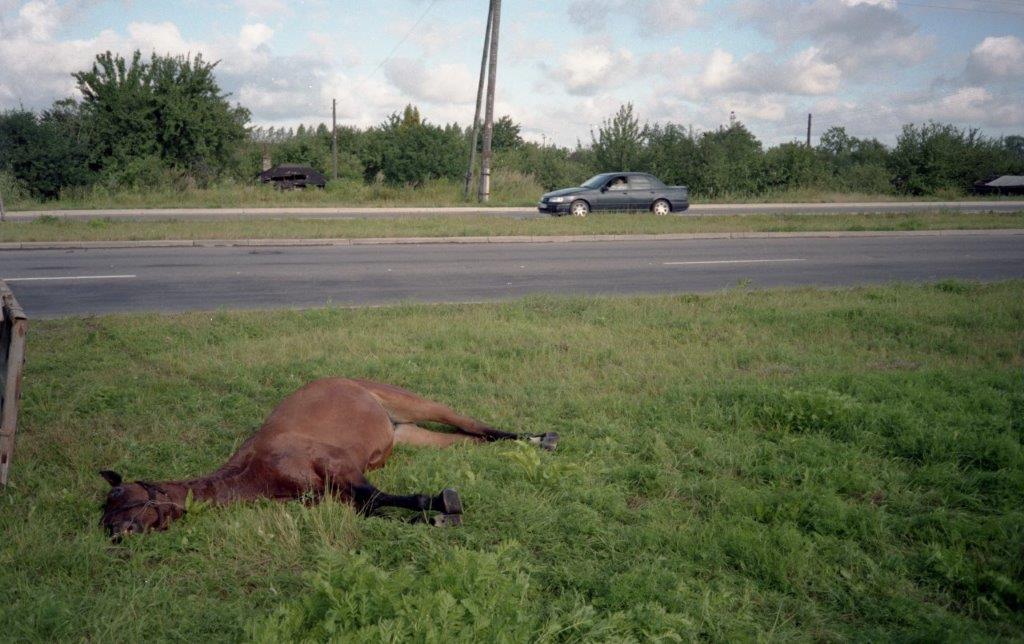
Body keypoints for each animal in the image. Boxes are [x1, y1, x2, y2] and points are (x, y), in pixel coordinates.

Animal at [98, 378, 558, 540]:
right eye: (107, 515)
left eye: (125, 497)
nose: (118, 536)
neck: (260, 468)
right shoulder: (332, 495)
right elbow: (371, 509)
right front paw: (432, 516)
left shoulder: (340, 467)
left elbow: (375, 498)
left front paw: (442, 504)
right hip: (411, 435)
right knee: (472, 439)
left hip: (416, 404)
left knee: (477, 425)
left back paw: (543, 438)